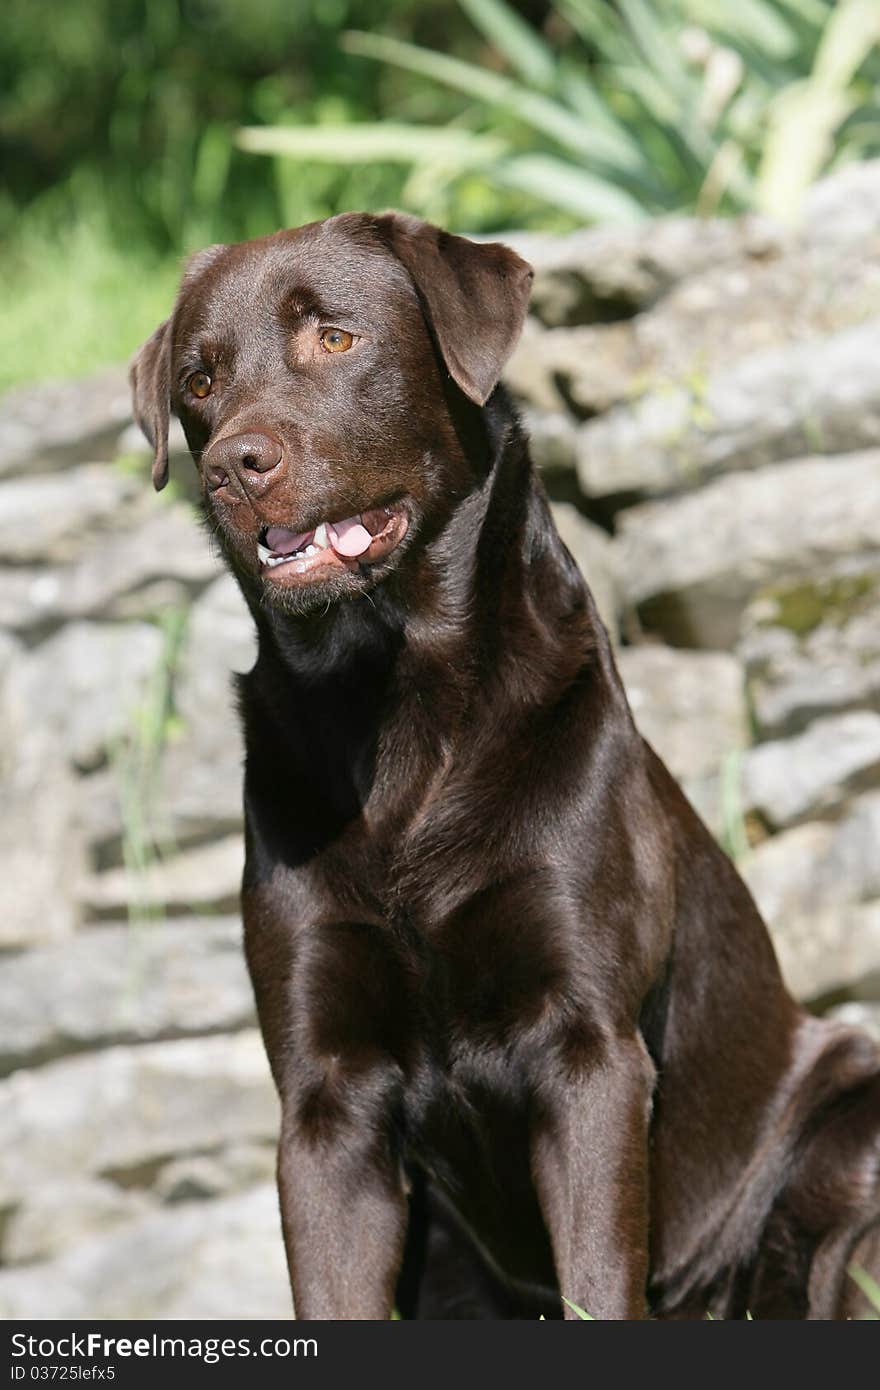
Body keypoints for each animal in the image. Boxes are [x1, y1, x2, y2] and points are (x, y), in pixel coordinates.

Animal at [132, 211, 878, 1317]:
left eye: (335, 339)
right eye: (199, 378)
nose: (232, 465)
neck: (394, 714)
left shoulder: (587, 1046)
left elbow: (597, 1282)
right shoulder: (322, 1099)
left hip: (845, 1112)